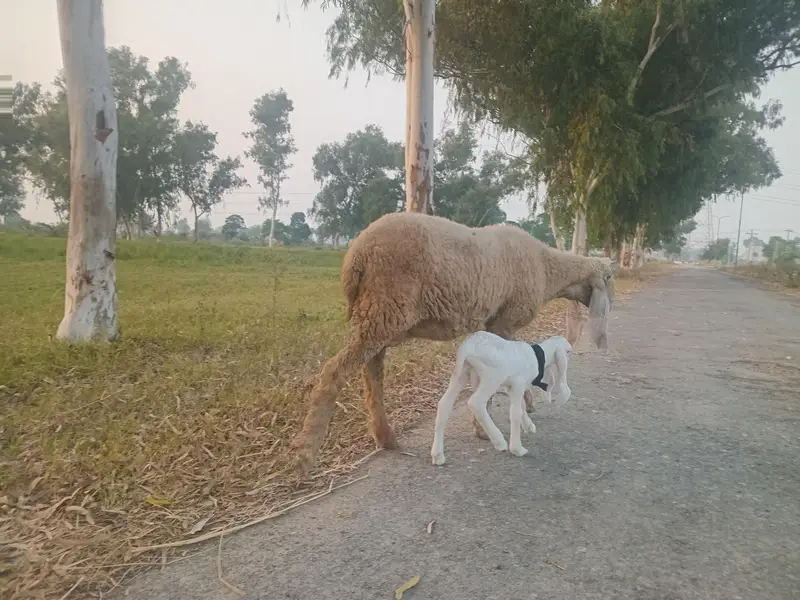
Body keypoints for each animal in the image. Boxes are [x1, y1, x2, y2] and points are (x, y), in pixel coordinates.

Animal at [430, 332, 572, 466]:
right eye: (568, 351)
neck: (537, 356)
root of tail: (467, 346)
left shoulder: (512, 387)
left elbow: (521, 406)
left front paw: (528, 425)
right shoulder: (518, 383)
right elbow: (515, 413)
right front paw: (517, 449)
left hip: (462, 373)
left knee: (444, 404)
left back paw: (438, 455)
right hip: (492, 376)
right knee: (476, 402)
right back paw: (499, 441)